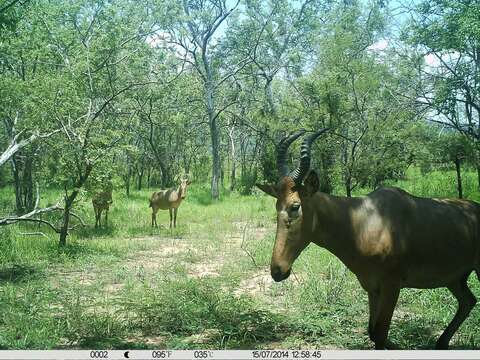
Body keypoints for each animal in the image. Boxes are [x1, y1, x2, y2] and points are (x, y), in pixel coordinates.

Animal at [256, 129, 480, 348]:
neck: (365, 219)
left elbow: (380, 334)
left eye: (295, 206)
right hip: (455, 278)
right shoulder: (372, 288)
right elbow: (372, 332)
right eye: (276, 205)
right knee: (468, 301)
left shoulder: (392, 286)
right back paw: (441, 343)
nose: (278, 271)